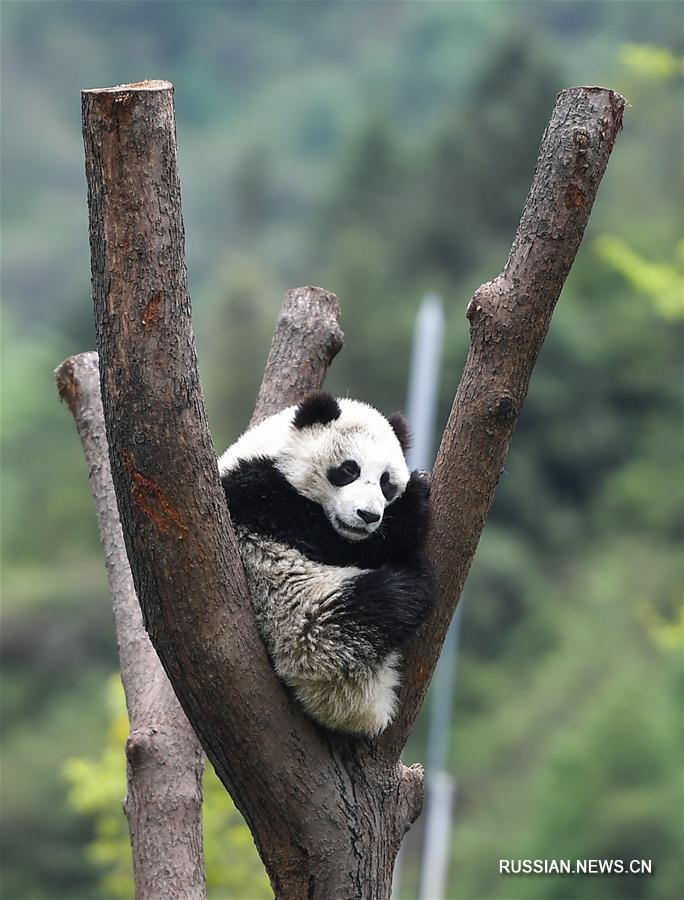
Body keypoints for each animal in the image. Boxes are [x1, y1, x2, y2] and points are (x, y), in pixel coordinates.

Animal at [216, 394, 436, 740]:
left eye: (386, 482)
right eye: (348, 469)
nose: (368, 515)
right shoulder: (259, 494)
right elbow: (336, 543)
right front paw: (415, 498)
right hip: (308, 621)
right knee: (384, 601)